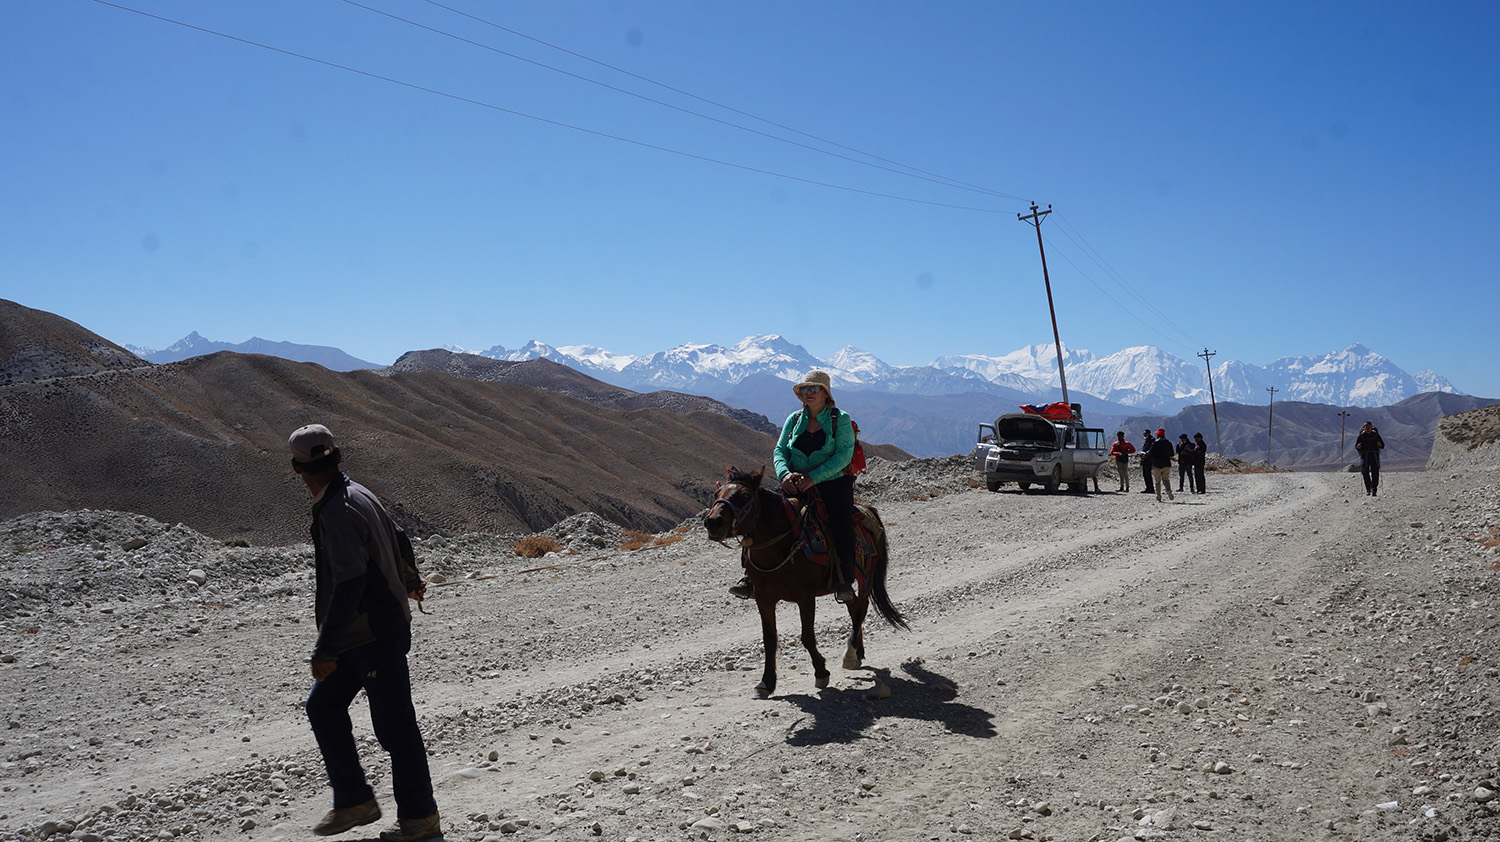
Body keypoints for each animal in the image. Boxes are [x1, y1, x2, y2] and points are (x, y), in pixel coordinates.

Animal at [699, 465, 900, 696]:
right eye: (717, 494)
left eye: (745, 496)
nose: (712, 522)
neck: (780, 548)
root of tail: (867, 509)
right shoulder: (764, 599)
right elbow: (769, 639)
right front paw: (766, 682)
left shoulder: (805, 598)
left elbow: (807, 637)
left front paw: (821, 672)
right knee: (854, 610)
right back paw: (858, 653)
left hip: (865, 576)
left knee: (859, 611)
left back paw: (850, 654)